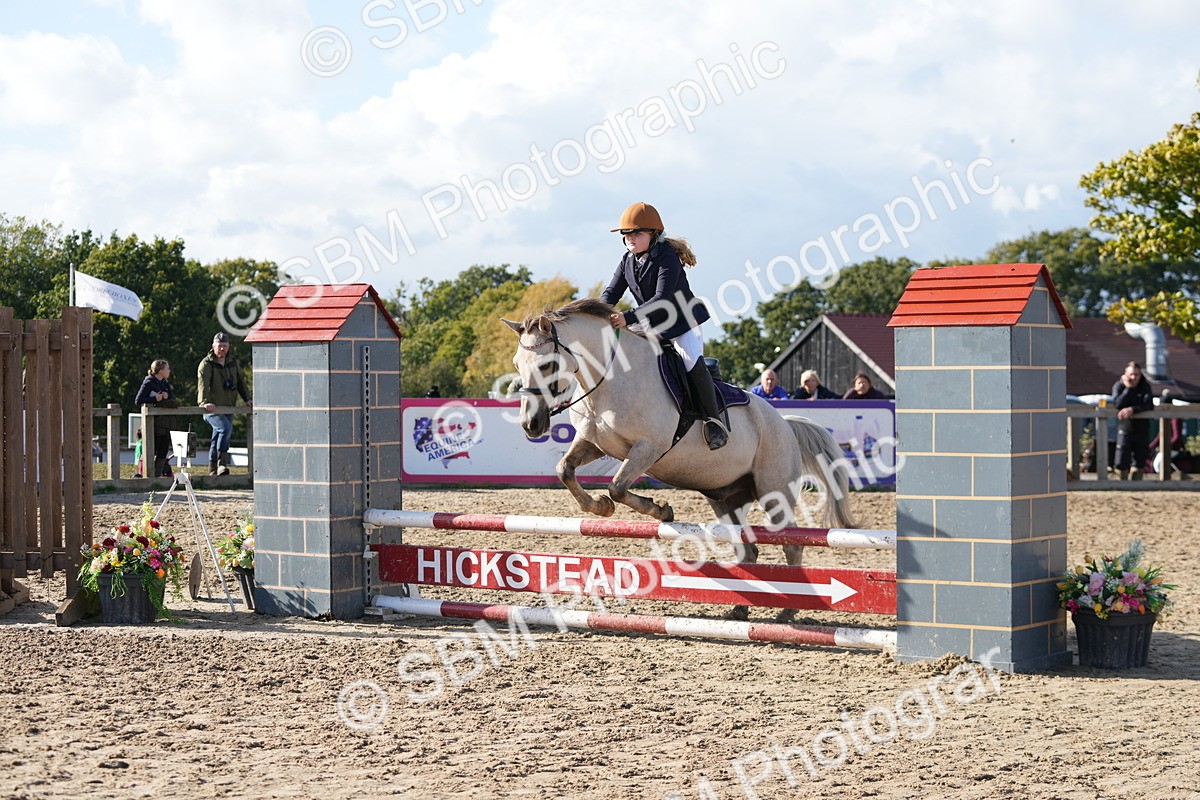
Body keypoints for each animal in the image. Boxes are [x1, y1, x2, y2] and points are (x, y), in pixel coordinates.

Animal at [503, 298, 856, 621]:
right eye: (517, 364)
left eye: (546, 365)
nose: (531, 425)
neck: (610, 378)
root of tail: (785, 423)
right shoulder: (595, 444)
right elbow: (565, 470)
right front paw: (600, 507)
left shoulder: (647, 448)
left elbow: (618, 486)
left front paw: (660, 510)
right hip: (727, 499)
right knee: (747, 548)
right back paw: (740, 609)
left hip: (774, 491)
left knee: (791, 542)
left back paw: (788, 612)